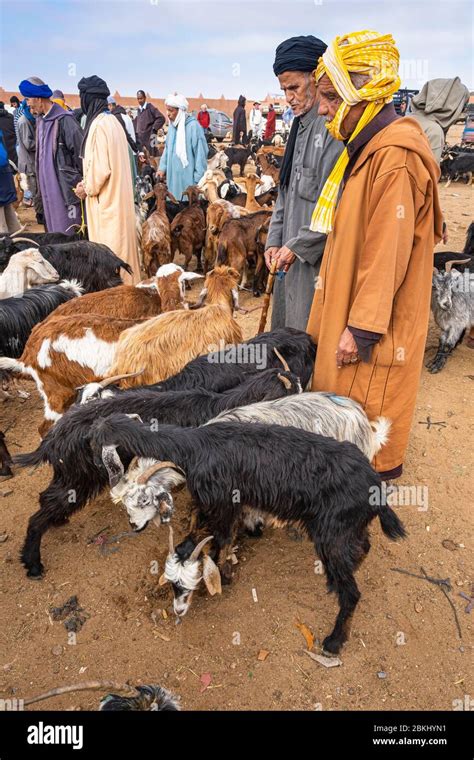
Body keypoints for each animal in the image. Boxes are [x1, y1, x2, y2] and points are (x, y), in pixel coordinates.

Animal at [17, 368, 300, 576]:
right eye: (292, 388)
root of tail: (55, 436)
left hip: (69, 476)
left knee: (47, 498)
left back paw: (56, 523)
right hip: (80, 478)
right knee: (42, 511)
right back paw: (33, 563)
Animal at [93, 412, 408, 656]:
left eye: (187, 586)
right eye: (171, 584)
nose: (178, 611)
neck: (196, 446)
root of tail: (375, 487)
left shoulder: (221, 502)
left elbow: (220, 540)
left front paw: (224, 576)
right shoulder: (229, 504)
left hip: (332, 533)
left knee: (352, 592)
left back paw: (334, 641)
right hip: (346, 529)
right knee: (363, 546)